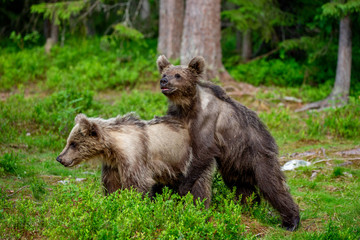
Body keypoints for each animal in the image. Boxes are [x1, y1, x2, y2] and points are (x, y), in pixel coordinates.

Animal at [158, 54, 300, 231]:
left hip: (258, 154)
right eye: (165, 72)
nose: (164, 81)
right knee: (241, 186)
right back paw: (247, 206)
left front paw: (187, 194)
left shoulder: (205, 123)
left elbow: (200, 159)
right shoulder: (178, 118)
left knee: (271, 184)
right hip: (235, 161)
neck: (188, 106)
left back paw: (291, 221)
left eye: (178, 75)